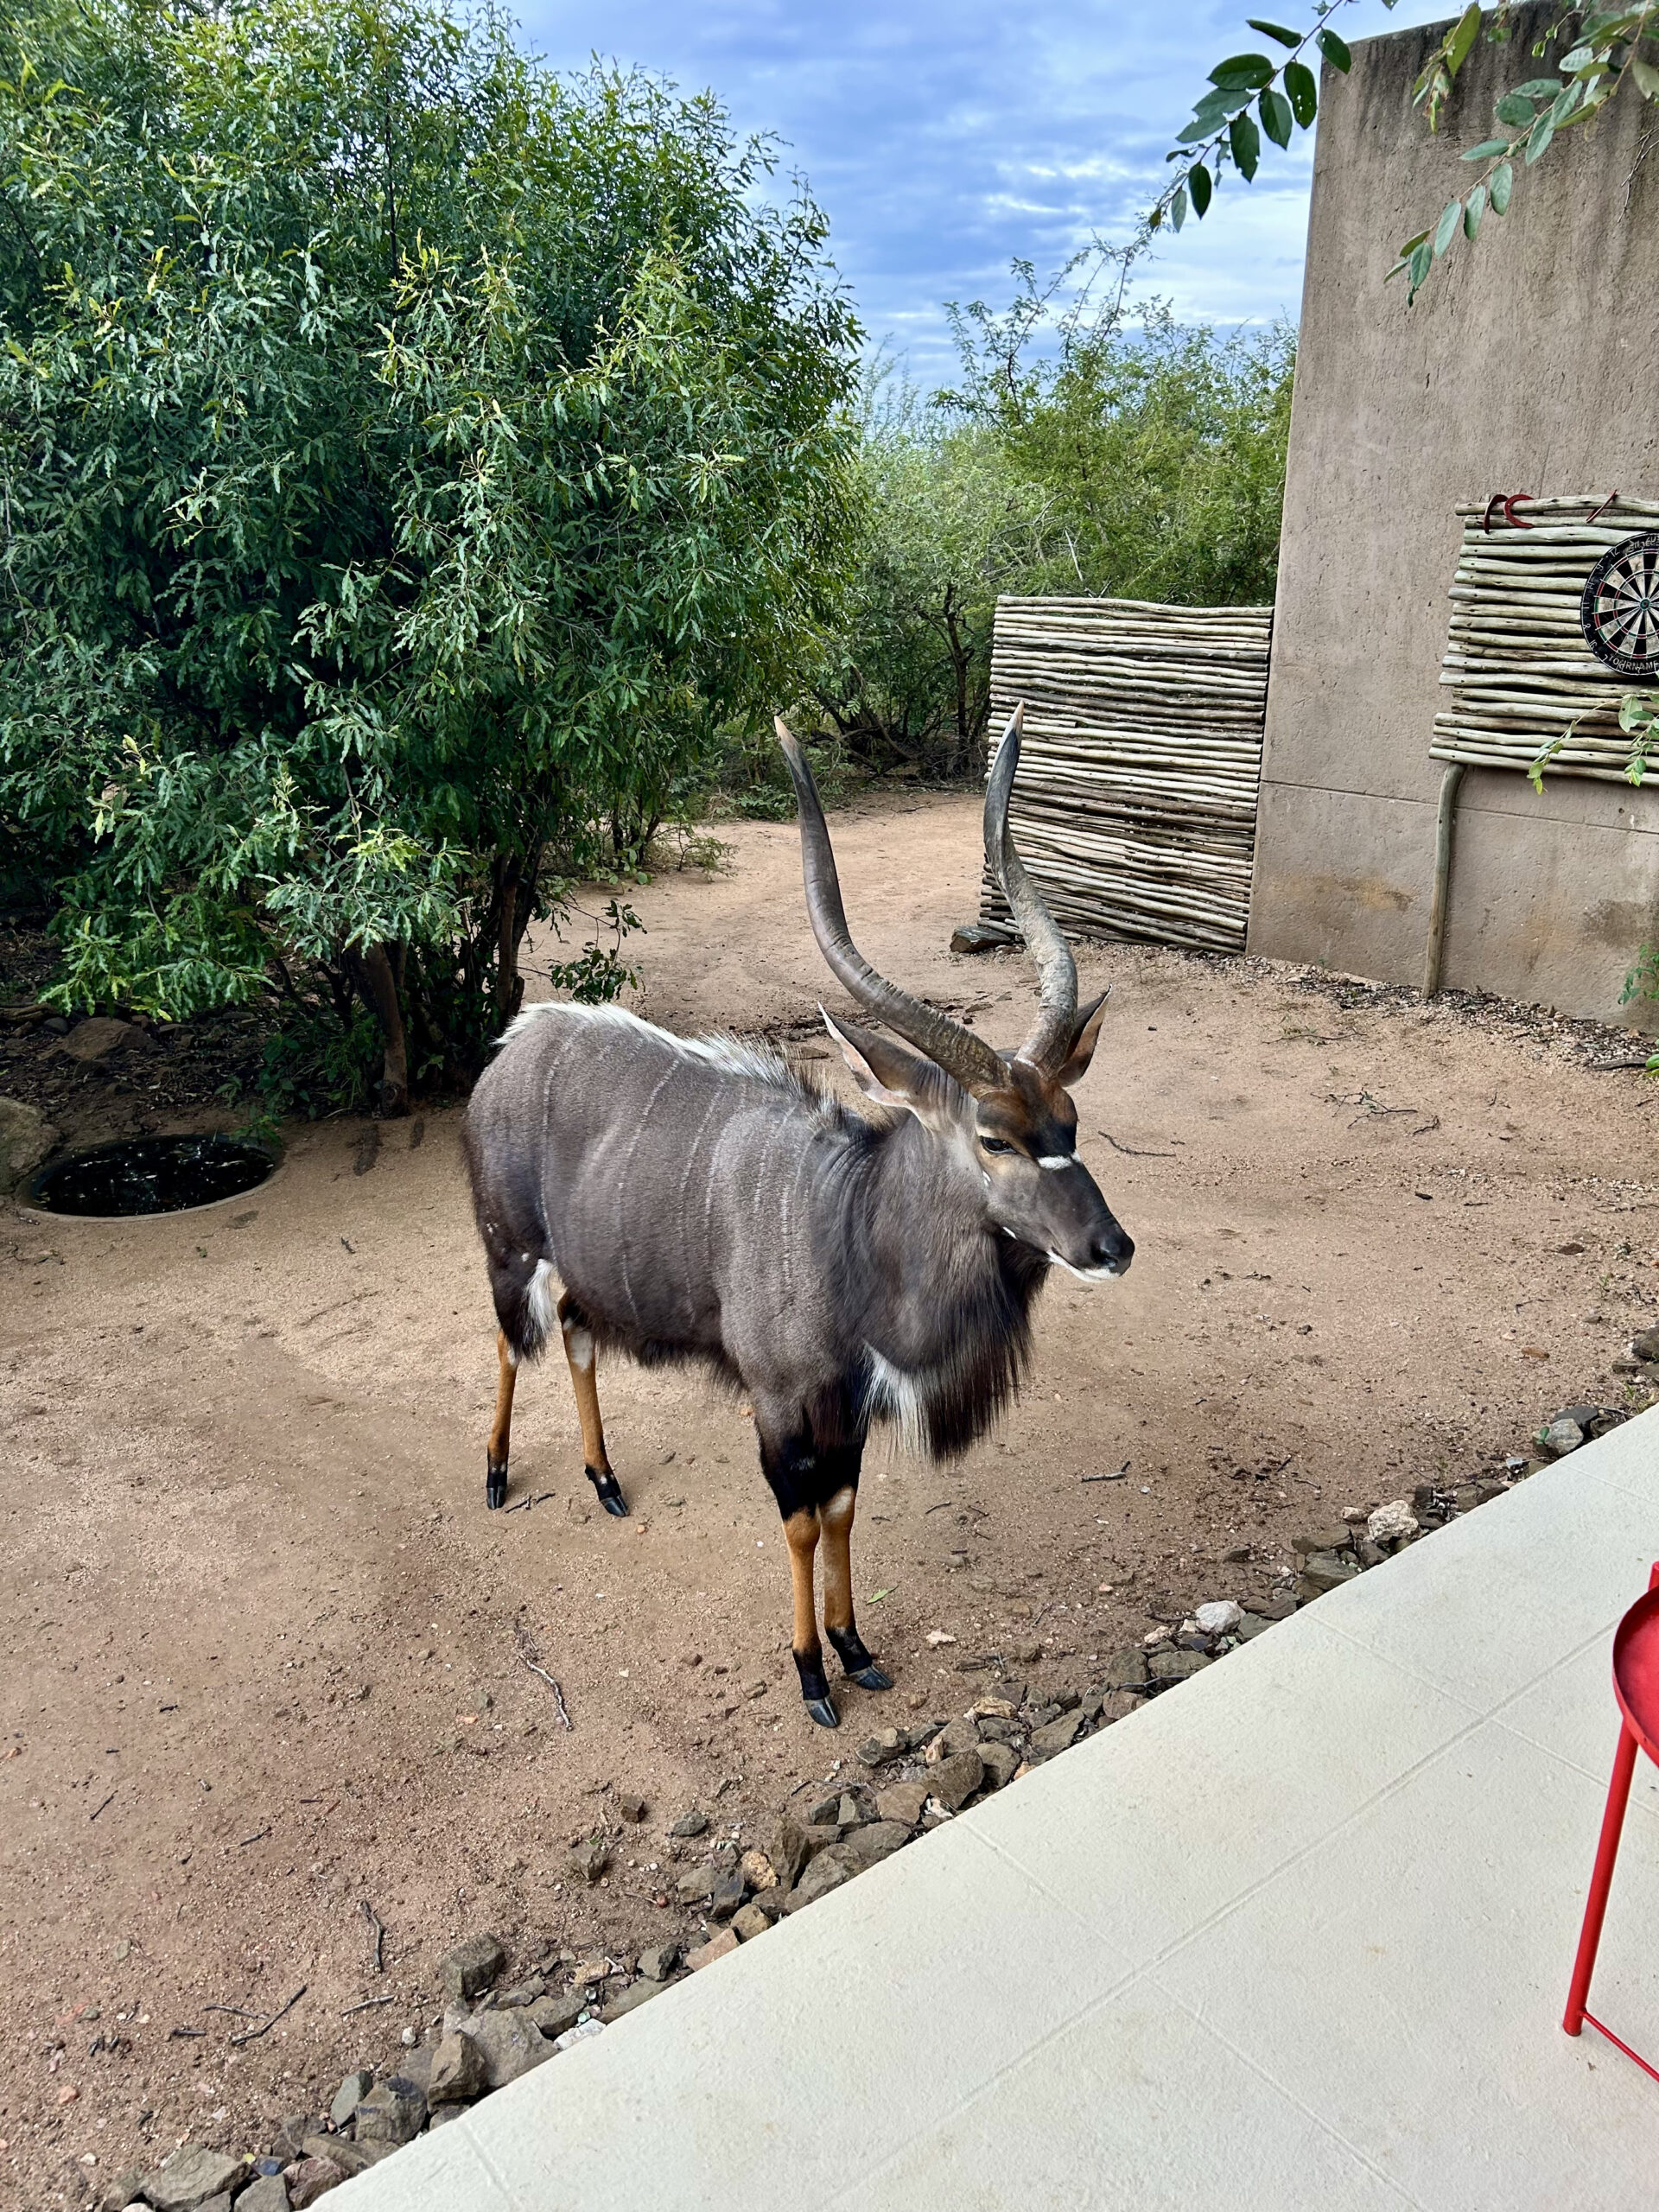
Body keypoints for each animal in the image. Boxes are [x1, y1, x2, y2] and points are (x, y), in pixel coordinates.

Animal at [462, 704, 1134, 1727]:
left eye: (1071, 1122)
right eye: (994, 1137)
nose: (1111, 1246)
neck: (846, 1222)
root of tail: (513, 1043)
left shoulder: (846, 1408)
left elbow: (844, 1510)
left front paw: (857, 1648)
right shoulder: (780, 1401)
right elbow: (800, 1522)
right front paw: (812, 1673)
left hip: (586, 1277)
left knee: (574, 1334)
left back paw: (606, 1481)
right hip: (509, 1251)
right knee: (508, 1340)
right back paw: (498, 1476)